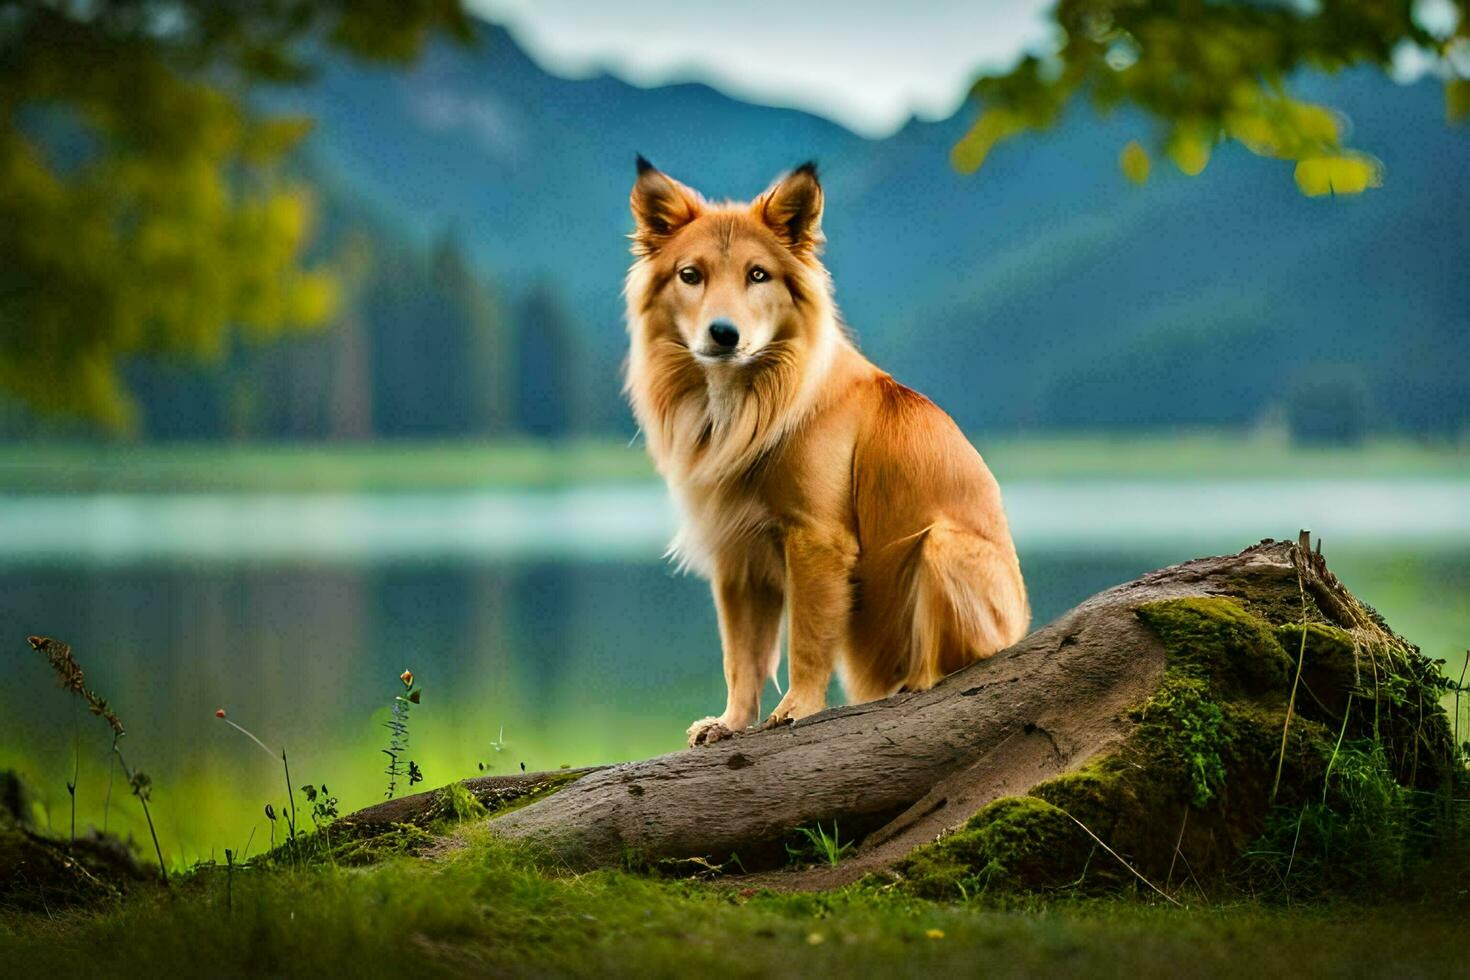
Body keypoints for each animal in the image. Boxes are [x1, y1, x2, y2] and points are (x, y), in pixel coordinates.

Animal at [626, 159, 1029, 752]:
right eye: (690, 275)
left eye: (758, 275)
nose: (723, 335)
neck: (750, 397)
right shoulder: (738, 555)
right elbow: (740, 656)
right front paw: (730, 723)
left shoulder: (817, 539)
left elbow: (809, 638)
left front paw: (796, 710)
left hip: (942, 547)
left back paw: (914, 685)